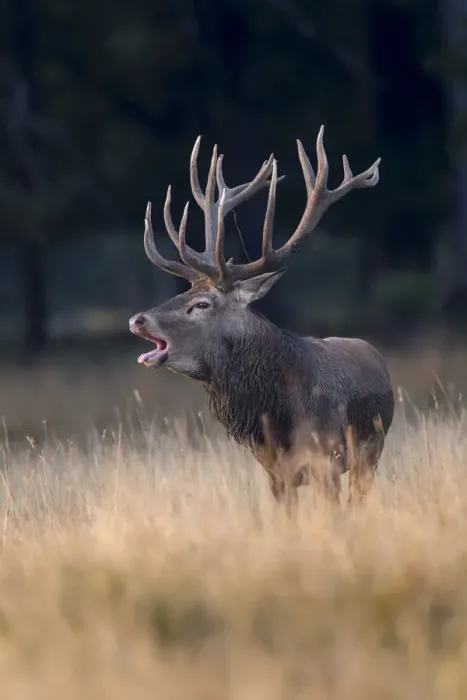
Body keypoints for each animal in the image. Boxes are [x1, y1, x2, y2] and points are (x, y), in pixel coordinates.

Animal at [129, 126, 394, 513]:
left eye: (202, 304)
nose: (138, 320)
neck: (277, 417)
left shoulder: (326, 461)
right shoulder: (274, 472)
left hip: (370, 453)